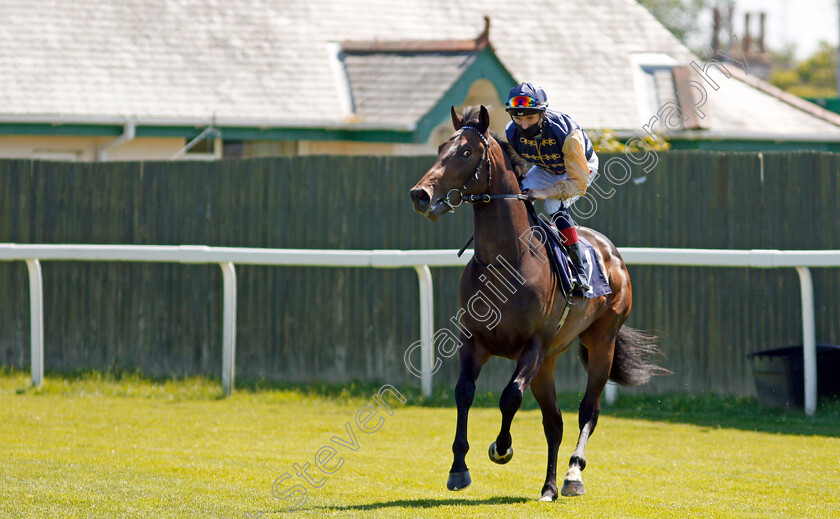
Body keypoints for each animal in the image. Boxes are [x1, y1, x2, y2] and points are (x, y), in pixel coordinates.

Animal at [408, 104, 668, 500]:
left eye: (465, 152)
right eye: (439, 148)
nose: (420, 194)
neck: (506, 261)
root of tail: (612, 253)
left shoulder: (532, 345)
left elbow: (510, 396)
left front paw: (501, 448)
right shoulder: (475, 341)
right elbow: (464, 393)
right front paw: (458, 468)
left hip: (601, 341)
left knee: (588, 410)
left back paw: (573, 475)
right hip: (549, 361)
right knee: (554, 421)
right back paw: (548, 487)